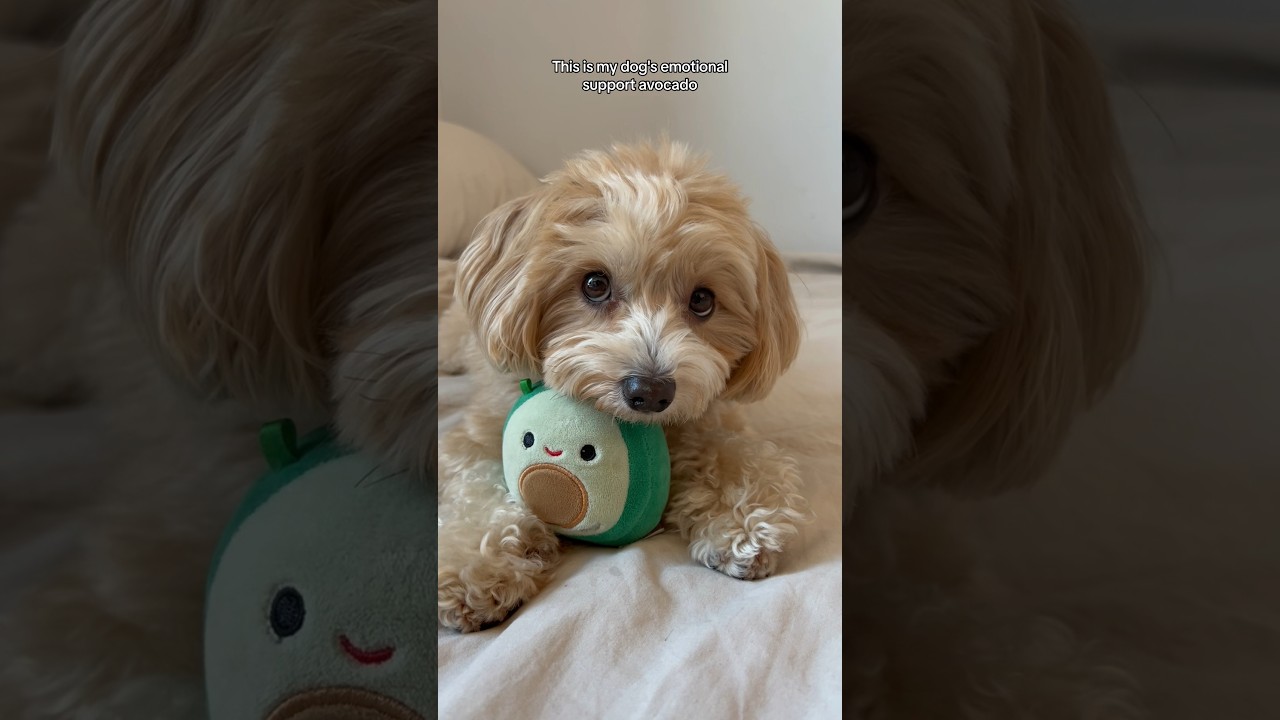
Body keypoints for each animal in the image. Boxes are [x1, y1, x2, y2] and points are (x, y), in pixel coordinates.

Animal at [435, 142, 803, 630]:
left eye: (703, 300)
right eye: (595, 284)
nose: (650, 392)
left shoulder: (713, 419)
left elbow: (736, 457)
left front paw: (744, 521)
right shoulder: (474, 436)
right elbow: (477, 487)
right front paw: (473, 565)